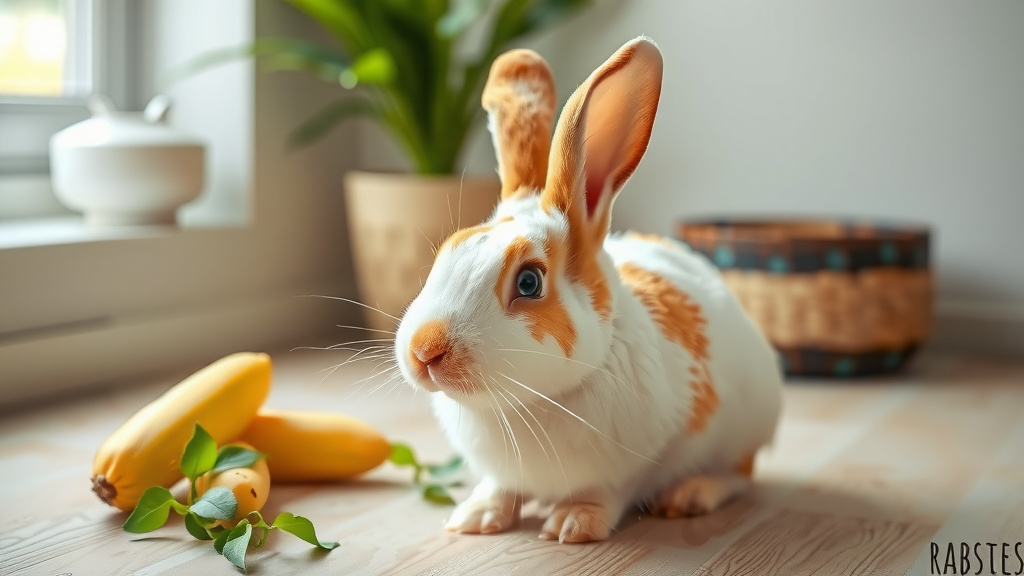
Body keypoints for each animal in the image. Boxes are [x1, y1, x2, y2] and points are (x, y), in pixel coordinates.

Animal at [393, 37, 783, 544]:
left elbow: (606, 491)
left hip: (743, 431)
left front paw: (573, 525)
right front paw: (475, 518)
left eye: (529, 281)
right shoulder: (501, 472)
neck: (524, 402)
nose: (424, 351)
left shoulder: (635, 463)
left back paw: (691, 494)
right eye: (446, 252)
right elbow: (499, 487)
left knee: (741, 474)